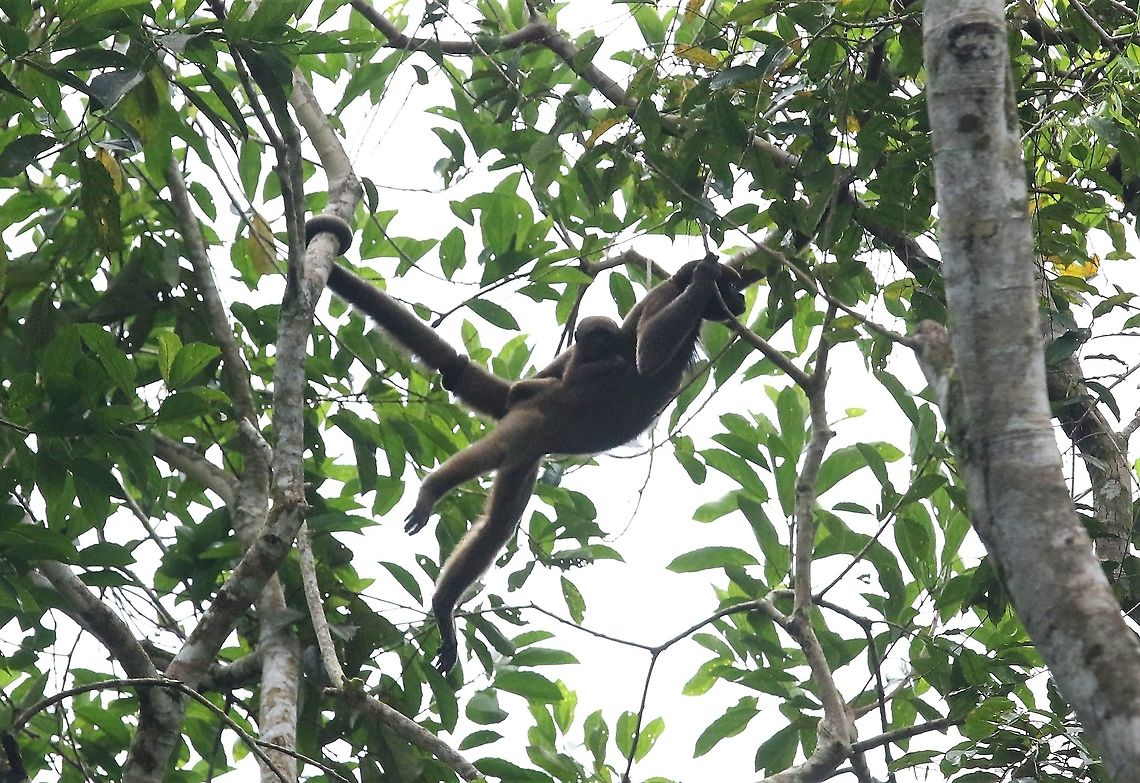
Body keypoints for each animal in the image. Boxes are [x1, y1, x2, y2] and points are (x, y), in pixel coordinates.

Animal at [305, 215, 746, 672]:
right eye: (731, 289)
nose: (740, 299)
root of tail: (525, 406)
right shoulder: (661, 300)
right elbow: (647, 355)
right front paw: (704, 276)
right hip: (527, 425)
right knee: (495, 453)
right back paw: (433, 490)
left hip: (527, 453)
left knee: (499, 524)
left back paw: (444, 605)